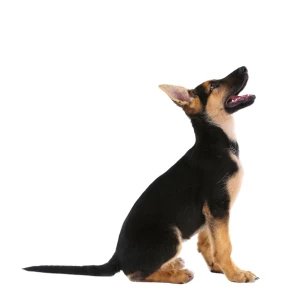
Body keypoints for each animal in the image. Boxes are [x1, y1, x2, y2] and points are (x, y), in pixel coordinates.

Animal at [24, 66, 258, 284]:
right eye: (214, 86)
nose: (244, 68)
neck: (216, 142)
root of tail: (116, 257)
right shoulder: (218, 206)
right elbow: (224, 246)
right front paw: (236, 274)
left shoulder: (210, 213)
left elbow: (208, 243)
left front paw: (219, 268)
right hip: (170, 235)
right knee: (134, 274)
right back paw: (177, 275)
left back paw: (173, 265)